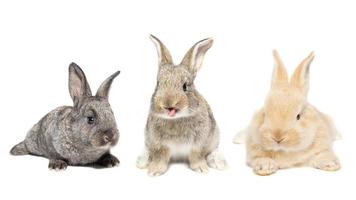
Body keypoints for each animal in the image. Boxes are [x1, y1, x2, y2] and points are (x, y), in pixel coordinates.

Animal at [136, 35, 225, 176]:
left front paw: (201, 169)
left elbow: (197, 156)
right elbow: (160, 157)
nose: (168, 103)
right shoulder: (159, 145)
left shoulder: (199, 144)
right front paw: (155, 171)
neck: (176, 119)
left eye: (185, 86)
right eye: (158, 84)